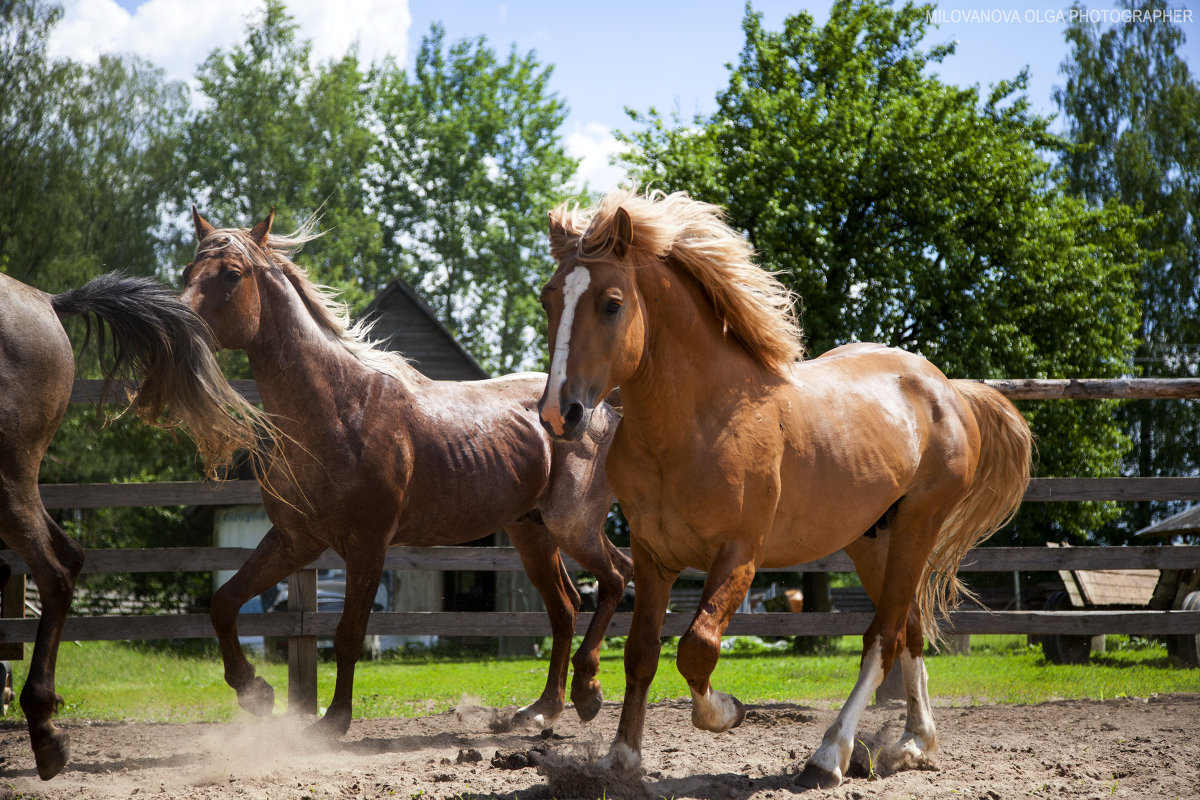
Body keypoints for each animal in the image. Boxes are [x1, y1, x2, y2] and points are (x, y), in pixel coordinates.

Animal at [182, 208, 633, 738]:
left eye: (232, 274)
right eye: (188, 271)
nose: (179, 326)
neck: (339, 409)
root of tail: (600, 409)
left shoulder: (367, 544)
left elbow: (349, 632)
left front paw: (334, 720)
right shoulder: (295, 540)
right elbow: (225, 602)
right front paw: (255, 692)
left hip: (572, 525)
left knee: (617, 577)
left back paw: (588, 692)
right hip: (532, 532)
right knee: (566, 607)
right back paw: (542, 708)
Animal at [537, 190, 1032, 791]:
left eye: (611, 303)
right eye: (549, 300)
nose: (558, 414)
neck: (700, 420)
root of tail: (947, 388)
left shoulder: (739, 555)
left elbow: (697, 649)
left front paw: (728, 711)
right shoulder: (653, 556)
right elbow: (641, 653)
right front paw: (621, 759)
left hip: (919, 525)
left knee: (883, 637)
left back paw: (830, 756)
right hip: (873, 540)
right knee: (909, 628)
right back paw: (913, 745)